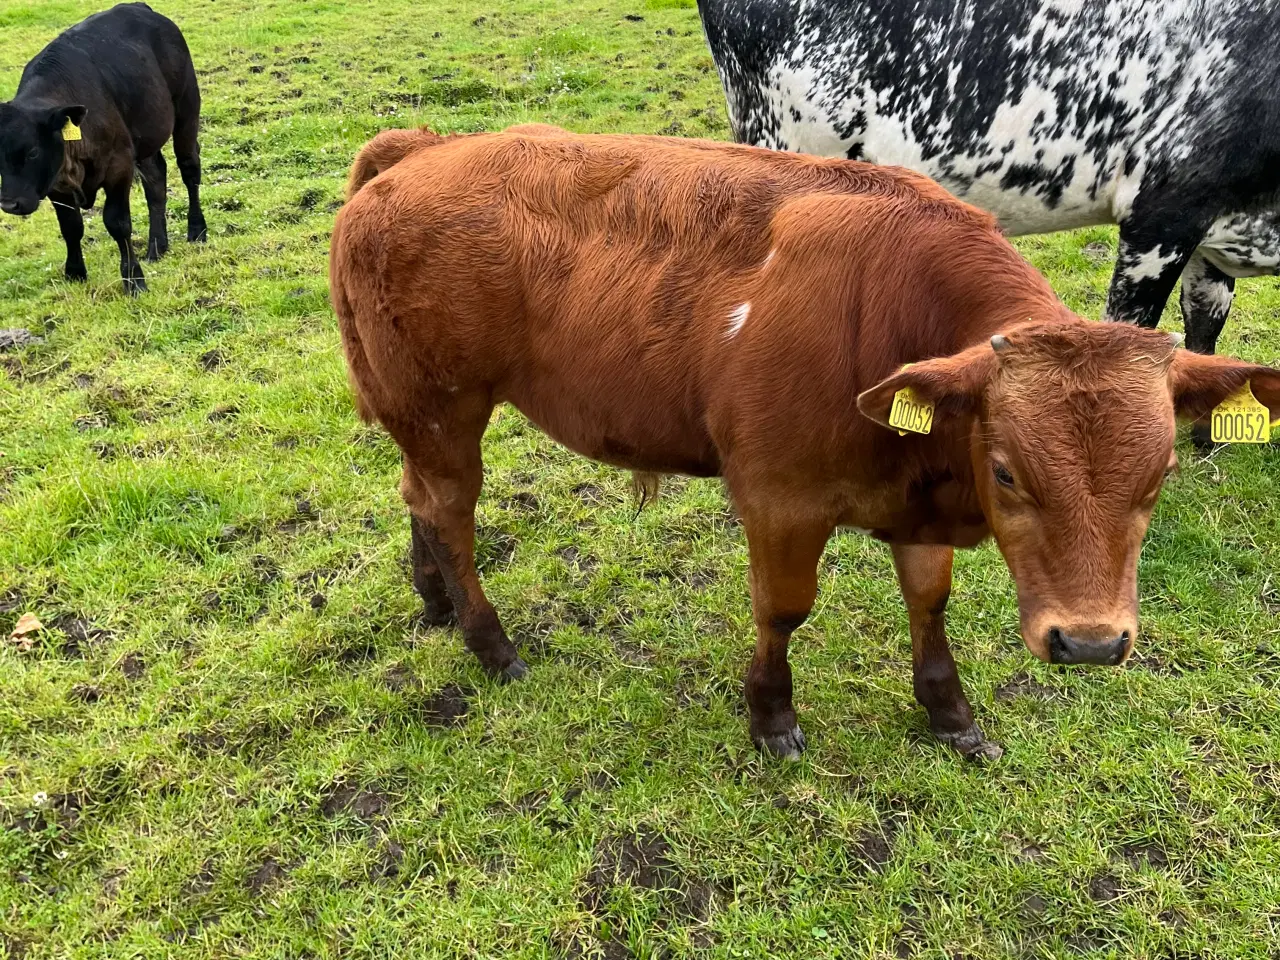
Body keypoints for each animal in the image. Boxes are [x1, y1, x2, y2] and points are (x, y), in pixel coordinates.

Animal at [0, 1, 204, 295]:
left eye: (32, 152)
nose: (9, 204)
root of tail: (139, 7)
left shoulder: (119, 166)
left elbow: (117, 222)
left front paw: (134, 280)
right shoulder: (56, 182)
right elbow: (71, 227)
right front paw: (75, 273)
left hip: (186, 108)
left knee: (189, 169)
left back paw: (197, 230)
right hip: (143, 135)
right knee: (156, 178)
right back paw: (157, 246)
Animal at [332, 126, 1280, 757]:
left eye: (1160, 473)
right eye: (1008, 472)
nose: (1089, 643)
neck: (892, 310)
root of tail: (422, 150)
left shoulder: (917, 504)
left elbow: (929, 603)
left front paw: (950, 715)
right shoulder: (778, 497)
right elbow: (783, 610)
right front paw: (772, 715)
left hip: (422, 418)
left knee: (421, 500)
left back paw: (434, 600)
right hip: (441, 407)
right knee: (452, 511)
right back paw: (489, 642)